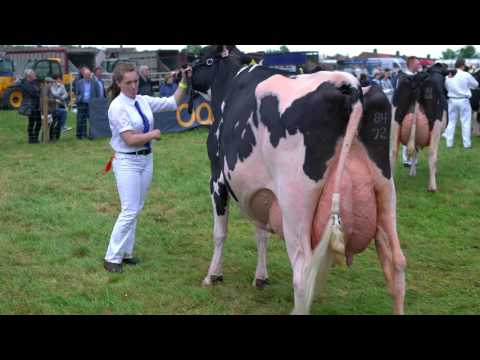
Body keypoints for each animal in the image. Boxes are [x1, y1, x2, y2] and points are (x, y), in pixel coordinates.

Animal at [191, 45, 404, 316]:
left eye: (204, 59)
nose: (187, 73)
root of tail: (350, 84)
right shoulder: (260, 190)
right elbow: (261, 235)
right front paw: (261, 278)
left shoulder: (217, 177)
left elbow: (220, 232)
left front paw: (213, 276)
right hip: (385, 190)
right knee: (397, 264)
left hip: (295, 206)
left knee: (302, 276)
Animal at [392, 65, 448, 193]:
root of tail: (417, 78)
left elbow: (415, 152)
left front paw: (412, 172)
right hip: (436, 126)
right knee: (432, 154)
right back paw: (432, 186)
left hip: (395, 121)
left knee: (393, 152)